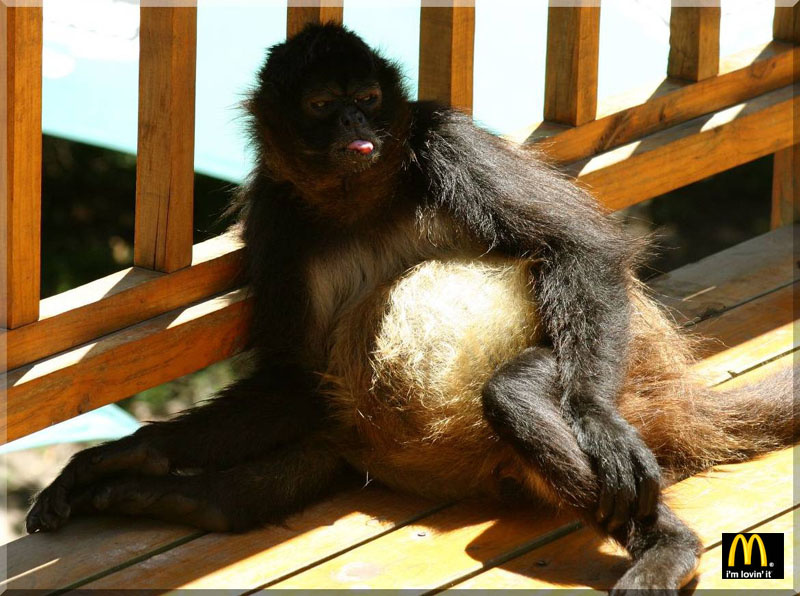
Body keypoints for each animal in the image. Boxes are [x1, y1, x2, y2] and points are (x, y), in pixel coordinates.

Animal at [26, 24, 796, 594]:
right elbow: (291, 378)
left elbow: (577, 249)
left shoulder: (440, 136)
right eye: (322, 105)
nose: (355, 122)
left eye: (369, 96)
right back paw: (173, 498)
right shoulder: (275, 212)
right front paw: (123, 456)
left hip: (622, 368)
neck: (358, 200)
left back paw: (667, 542)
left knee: (514, 393)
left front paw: (599, 426)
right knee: (301, 444)